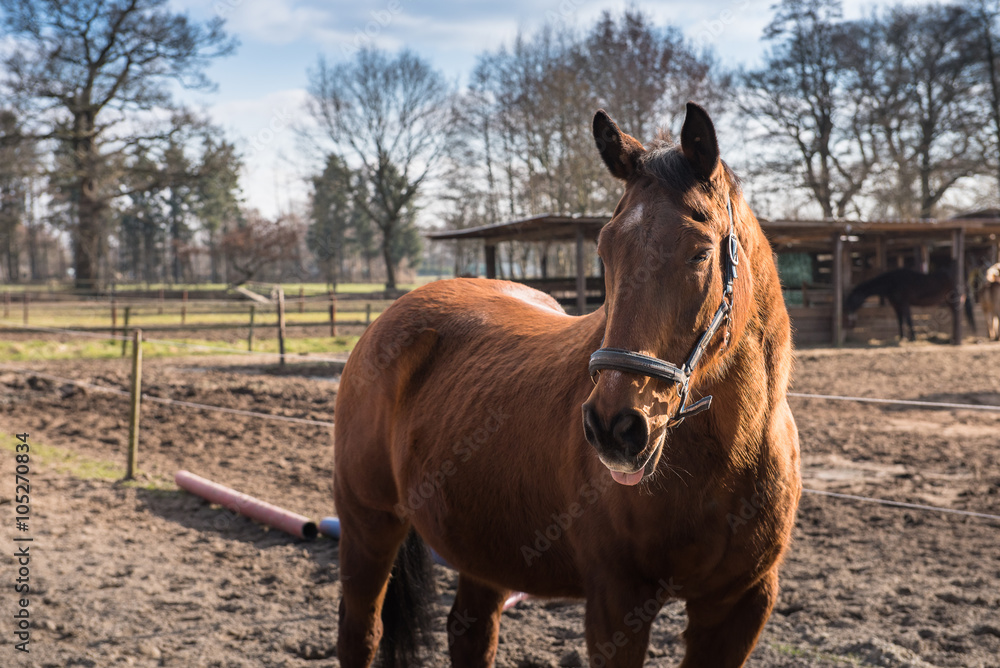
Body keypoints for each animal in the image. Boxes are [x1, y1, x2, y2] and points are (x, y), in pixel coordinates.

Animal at [333, 103, 801, 668]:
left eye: (699, 252)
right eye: (605, 249)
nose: (614, 426)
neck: (730, 459)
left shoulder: (739, 605)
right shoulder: (617, 603)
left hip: (481, 548)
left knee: (469, 632)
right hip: (368, 523)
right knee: (360, 632)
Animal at [843, 268, 975, 341]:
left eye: (852, 300)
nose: (849, 317)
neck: (892, 282)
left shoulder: (904, 303)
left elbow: (908, 320)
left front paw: (913, 337)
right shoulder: (896, 305)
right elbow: (900, 321)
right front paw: (902, 337)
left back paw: (955, 338)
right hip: (949, 300)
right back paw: (953, 337)